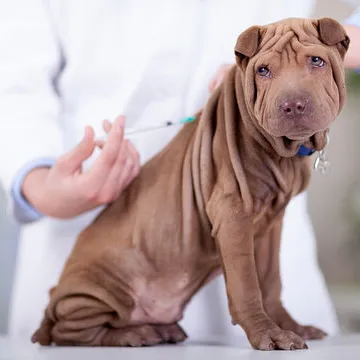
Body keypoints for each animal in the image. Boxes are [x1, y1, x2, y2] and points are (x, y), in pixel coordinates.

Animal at [31, 17, 348, 352]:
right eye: (263, 70)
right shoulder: (232, 214)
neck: (282, 152)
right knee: (71, 331)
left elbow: (270, 280)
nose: (293, 104)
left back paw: (160, 329)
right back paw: (133, 334)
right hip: (97, 289)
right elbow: (247, 284)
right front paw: (268, 333)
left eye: (316, 61)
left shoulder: (271, 224)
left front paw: (290, 326)